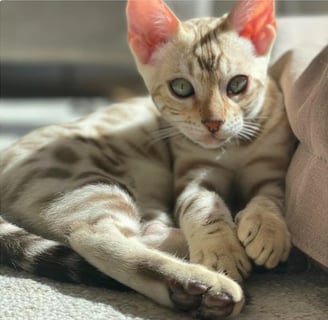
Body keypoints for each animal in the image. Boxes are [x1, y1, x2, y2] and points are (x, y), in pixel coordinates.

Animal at [0, 0, 292, 318]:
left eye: (238, 84)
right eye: (181, 88)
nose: (213, 124)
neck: (233, 146)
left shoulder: (272, 172)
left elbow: (270, 199)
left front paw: (267, 230)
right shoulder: (193, 179)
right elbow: (204, 211)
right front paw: (222, 250)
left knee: (141, 231)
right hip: (90, 182)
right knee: (93, 237)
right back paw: (202, 285)